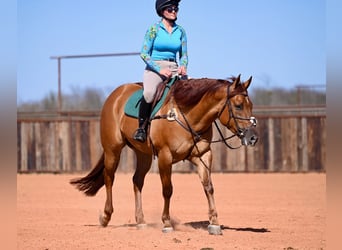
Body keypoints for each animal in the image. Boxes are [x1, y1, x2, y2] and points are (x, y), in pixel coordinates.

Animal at [71, 74, 258, 234]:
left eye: (251, 105)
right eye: (238, 105)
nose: (253, 137)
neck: (185, 116)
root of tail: (116, 94)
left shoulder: (203, 156)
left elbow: (209, 187)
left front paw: (214, 222)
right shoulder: (164, 157)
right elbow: (167, 190)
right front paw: (167, 223)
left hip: (144, 155)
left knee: (137, 181)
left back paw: (140, 221)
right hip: (113, 150)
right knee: (109, 178)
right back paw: (105, 216)